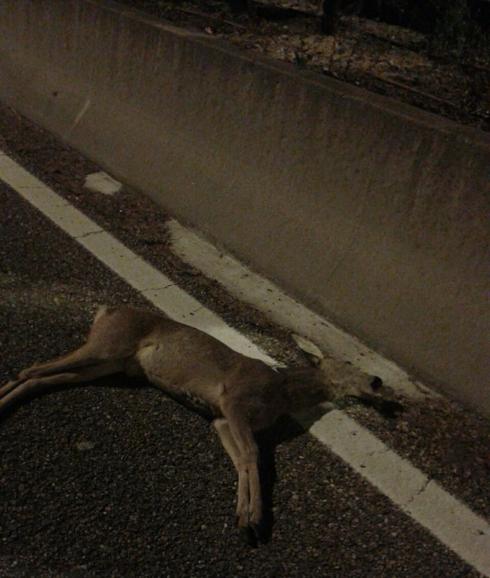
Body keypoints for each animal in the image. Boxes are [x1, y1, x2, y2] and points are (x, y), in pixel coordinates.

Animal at [0, 306, 398, 540]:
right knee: (32, 369)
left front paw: (243, 515)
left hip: (110, 364)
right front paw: (256, 517)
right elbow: (253, 455)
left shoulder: (221, 419)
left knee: (41, 377)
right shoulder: (234, 399)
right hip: (107, 345)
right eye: (349, 364)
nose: (378, 381)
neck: (281, 393)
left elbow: (243, 459)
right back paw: (3, 401)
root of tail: (105, 311)